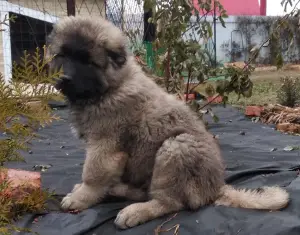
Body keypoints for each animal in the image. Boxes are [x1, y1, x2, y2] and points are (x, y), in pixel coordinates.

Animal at [45, 16, 290, 229]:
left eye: (87, 61)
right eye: (62, 56)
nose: (63, 78)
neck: (111, 88)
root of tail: (215, 188)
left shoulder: (105, 145)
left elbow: (93, 173)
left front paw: (81, 197)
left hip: (176, 148)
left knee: (170, 202)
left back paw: (135, 211)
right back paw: (120, 191)